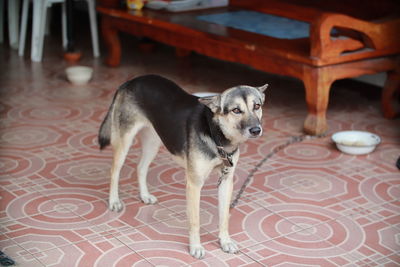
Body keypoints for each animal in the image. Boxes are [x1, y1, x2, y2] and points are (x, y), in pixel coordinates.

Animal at [97, 74, 268, 258]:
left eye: (257, 106)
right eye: (236, 110)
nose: (256, 130)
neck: (215, 135)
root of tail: (130, 81)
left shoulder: (226, 181)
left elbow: (224, 217)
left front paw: (225, 242)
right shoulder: (194, 185)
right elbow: (195, 221)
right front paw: (196, 247)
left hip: (153, 141)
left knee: (141, 167)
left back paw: (145, 196)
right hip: (124, 140)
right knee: (114, 171)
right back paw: (114, 201)